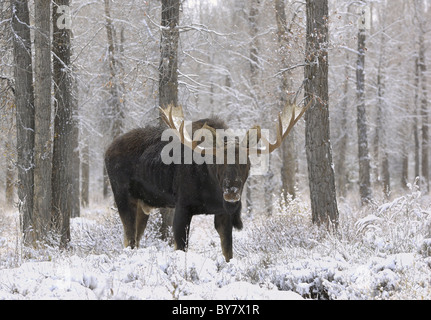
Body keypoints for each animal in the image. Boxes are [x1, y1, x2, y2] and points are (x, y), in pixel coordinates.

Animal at [104, 101, 308, 262]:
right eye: (218, 161)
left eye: (245, 162)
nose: (232, 191)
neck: (212, 190)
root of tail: (107, 150)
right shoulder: (183, 206)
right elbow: (181, 248)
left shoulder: (223, 213)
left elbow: (228, 252)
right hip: (122, 196)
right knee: (129, 240)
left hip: (143, 204)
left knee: (134, 239)